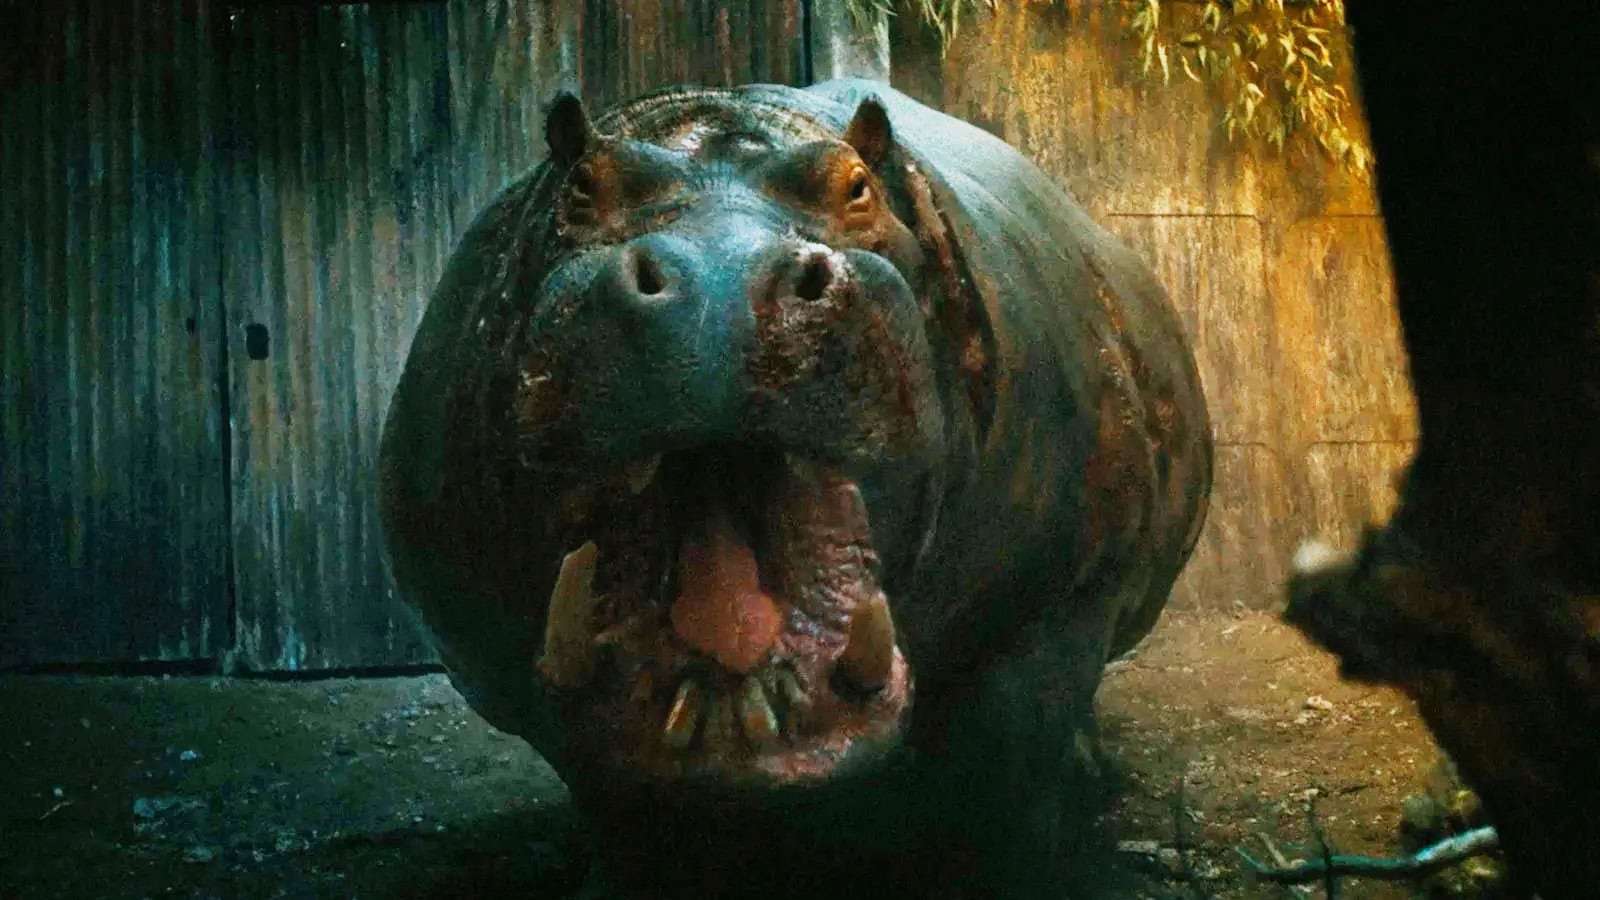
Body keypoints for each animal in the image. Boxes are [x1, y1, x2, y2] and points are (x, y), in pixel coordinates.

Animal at [379, 79, 1211, 898]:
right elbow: (623, 806)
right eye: (580, 188)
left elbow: (1000, 792)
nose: (719, 274)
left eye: (857, 187)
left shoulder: (1051, 610)